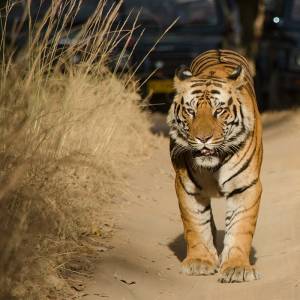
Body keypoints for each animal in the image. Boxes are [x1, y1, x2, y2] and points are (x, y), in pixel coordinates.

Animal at [168, 49, 264, 284]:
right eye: (190, 111)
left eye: (219, 110)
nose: (203, 139)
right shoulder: (186, 187)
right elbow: (195, 224)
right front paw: (200, 262)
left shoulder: (246, 186)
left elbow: (240, 227)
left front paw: (237, 268)